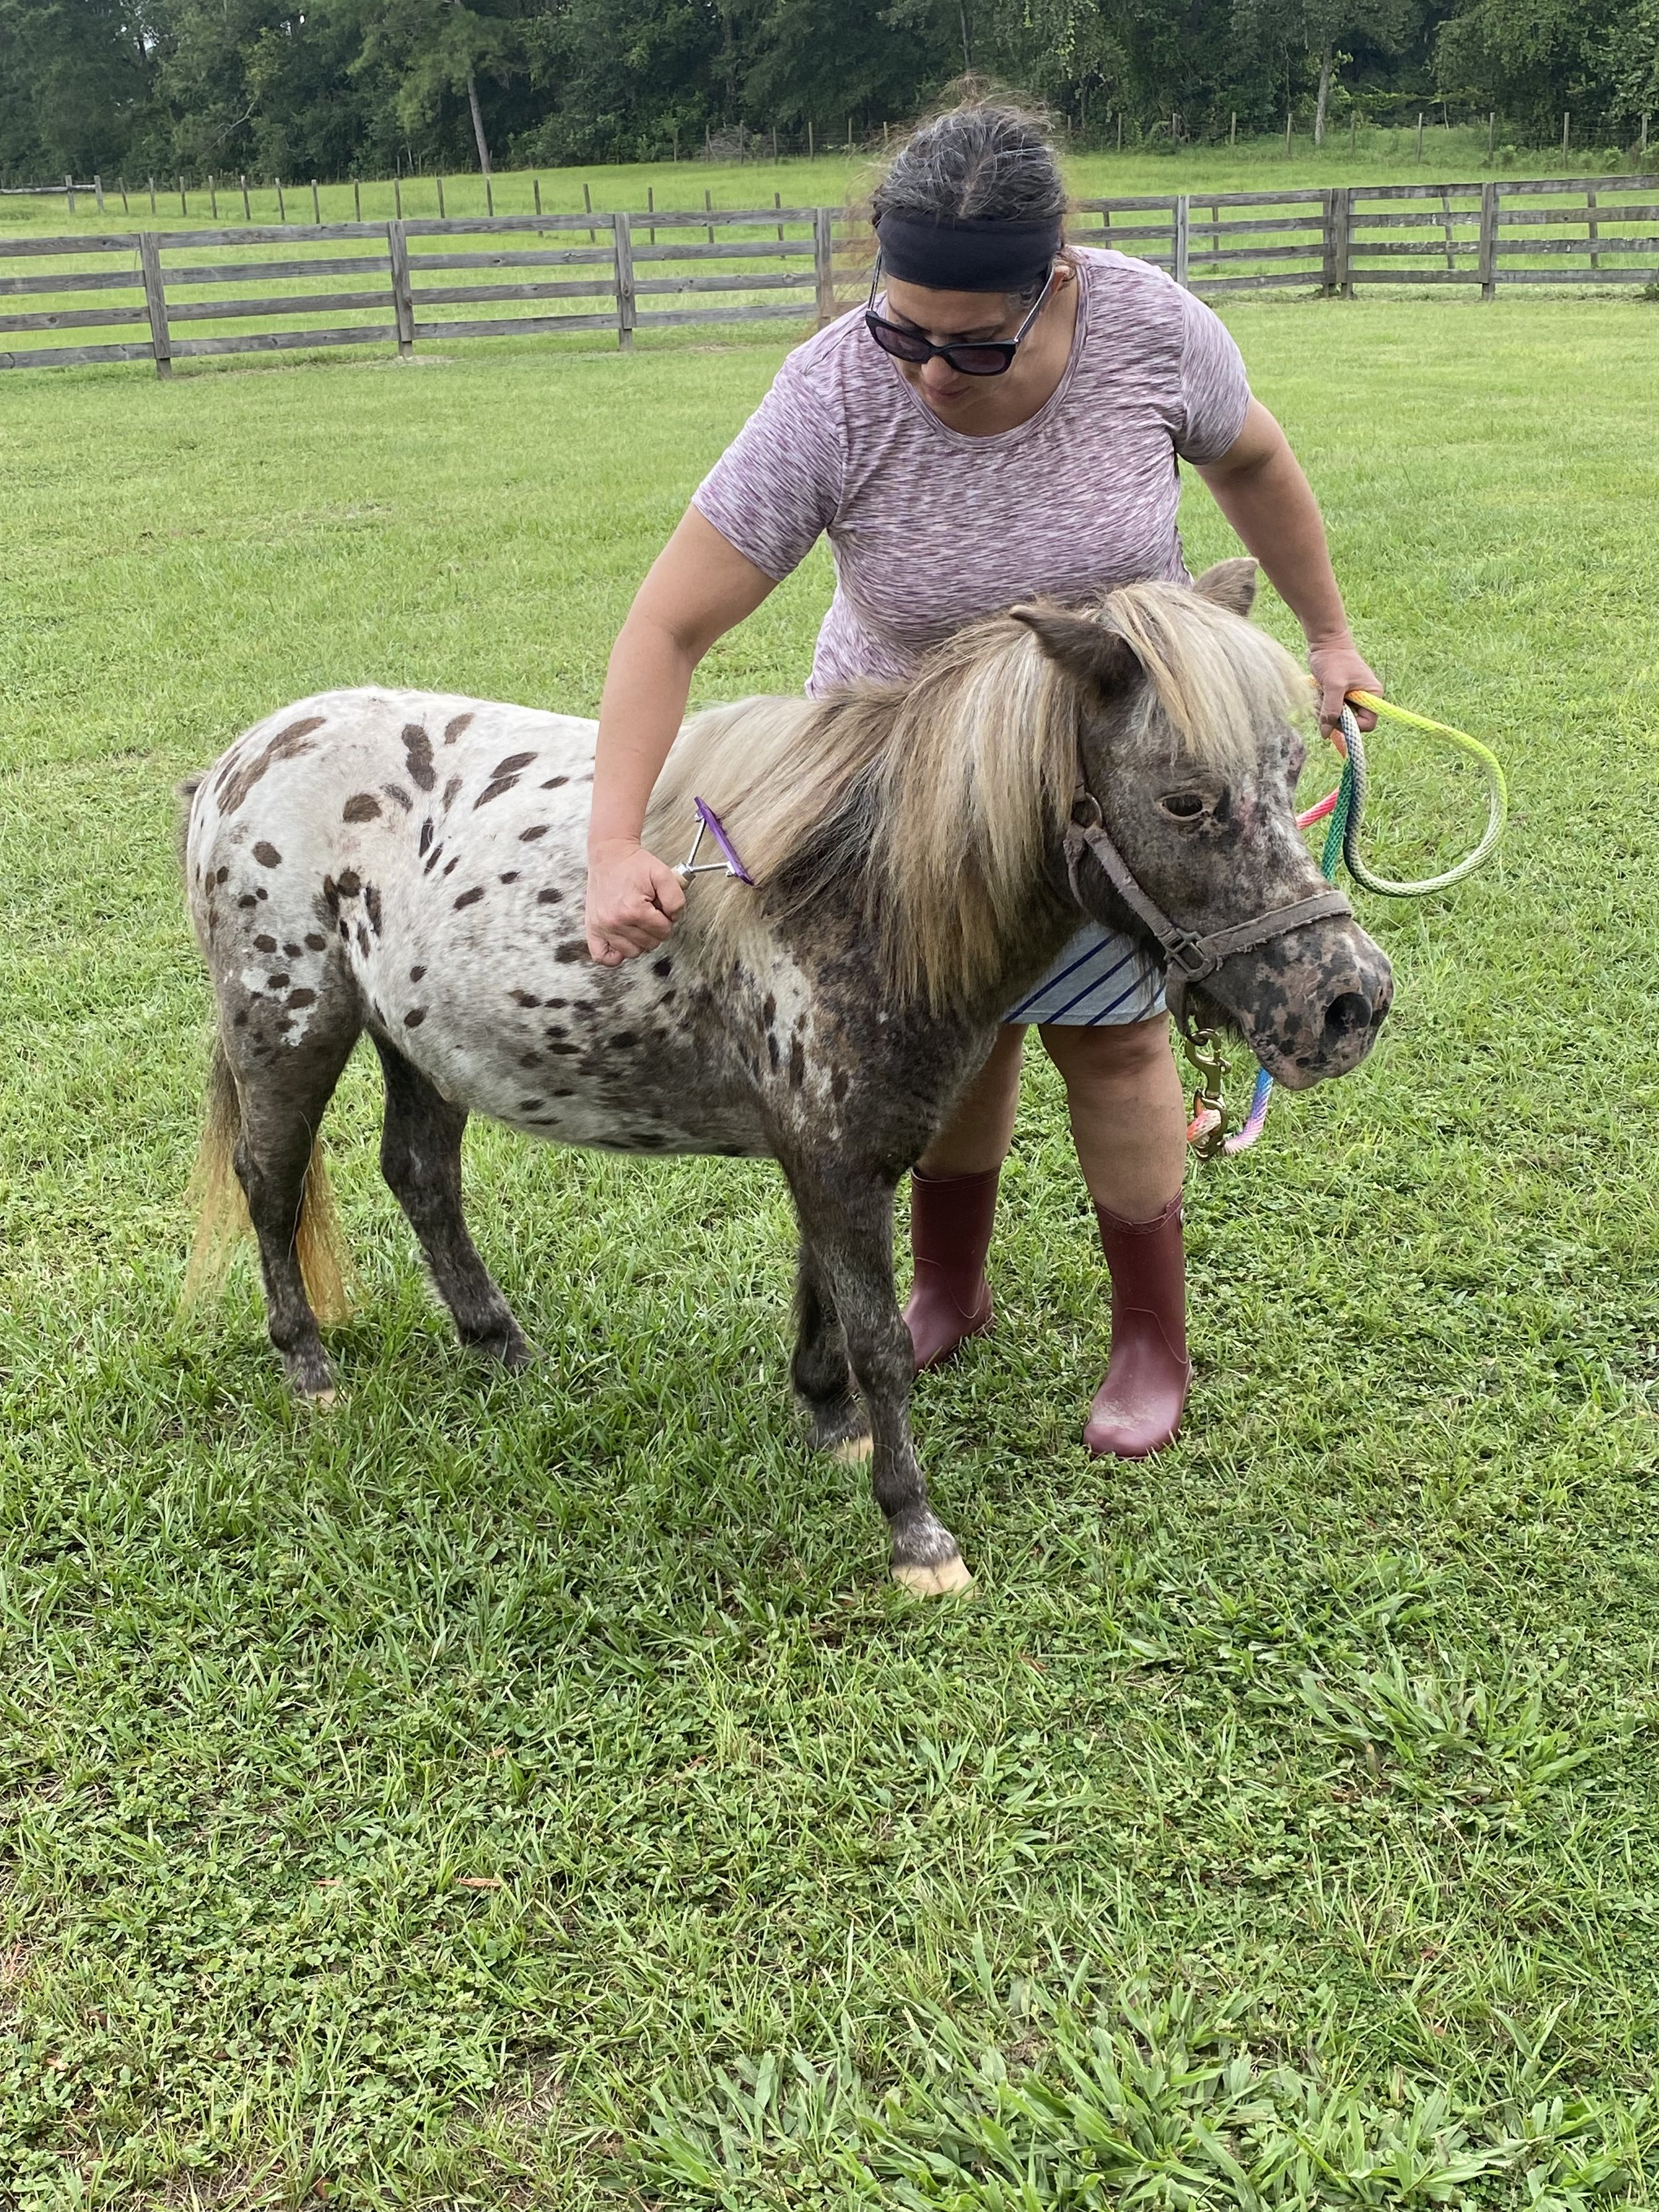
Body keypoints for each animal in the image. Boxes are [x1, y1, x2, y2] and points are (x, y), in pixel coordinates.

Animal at [179, 559, 1391, 1595]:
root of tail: (236, 765)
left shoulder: (840, 1156)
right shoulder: (834, 1159)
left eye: (1293, 771)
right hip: (290, 1021)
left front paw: (827, 1422)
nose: (1351, 1001)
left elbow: (826, 1304)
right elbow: (882, 1343)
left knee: (421, 1175)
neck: (856, 894)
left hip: (421, 1040)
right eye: (1185, 800)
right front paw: (916, 1533)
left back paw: (498, 1347)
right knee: (270, 1181)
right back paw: (310, 1370)